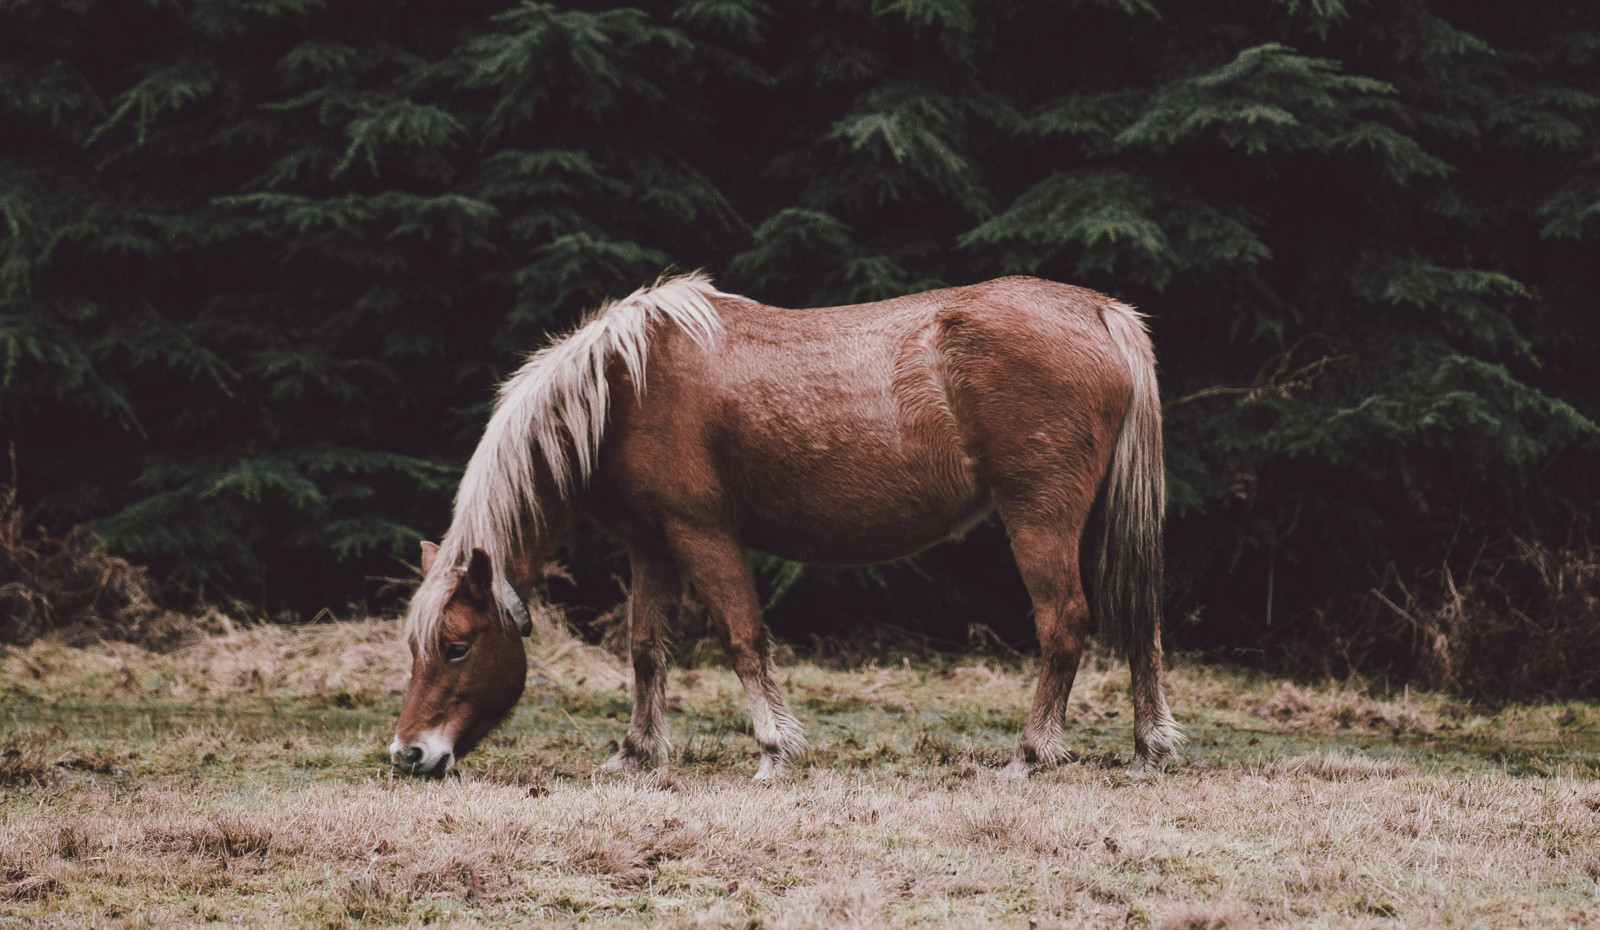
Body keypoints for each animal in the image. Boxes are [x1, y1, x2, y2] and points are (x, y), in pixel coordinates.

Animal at [393, 273, 1184, 774]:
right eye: (416, 646)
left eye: (458, 646)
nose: (409, 756)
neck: (624, 388)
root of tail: (1099, 312)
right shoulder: (653, 547)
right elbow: (647, 650)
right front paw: (636, 754)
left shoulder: (703, 533)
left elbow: (743, 638)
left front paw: (775, 751)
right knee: (1141, 622)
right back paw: (1148, 750)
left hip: (1039, 517)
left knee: (1063, 624)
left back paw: (1029, 754)